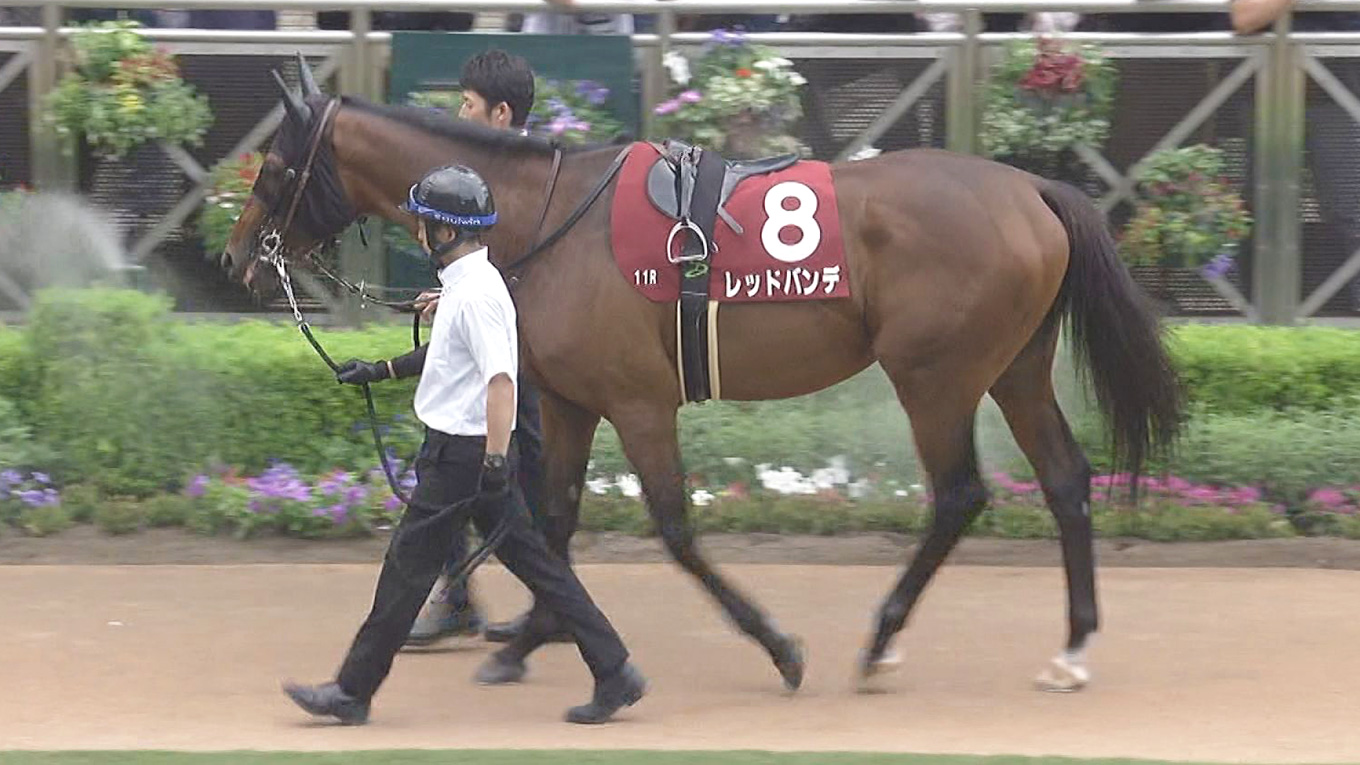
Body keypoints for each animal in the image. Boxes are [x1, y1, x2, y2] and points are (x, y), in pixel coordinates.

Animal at [224, 66, 1183, 695]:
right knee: (1064, 479)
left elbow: (674, 528)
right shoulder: (567, 400)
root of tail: (1031, 190)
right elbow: (553, 521)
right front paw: (530, 638)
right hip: (1013, 368)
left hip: (935, 376)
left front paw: (777, 646)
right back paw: (1071, 647)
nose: (239, 258)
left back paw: (880, 640)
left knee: (958, 493)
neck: (543, 215)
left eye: (273, 165)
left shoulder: (640, 401)